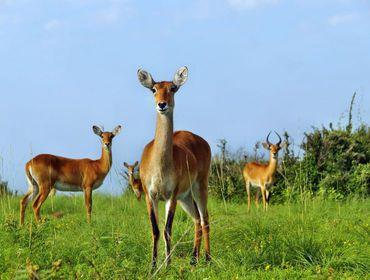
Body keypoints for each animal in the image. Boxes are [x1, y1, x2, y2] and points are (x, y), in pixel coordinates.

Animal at [137, 66, 212, 268]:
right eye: (153, 89)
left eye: (173, 88)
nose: (162, 104)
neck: (160, 167)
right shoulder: (151, 195)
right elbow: (156, 230)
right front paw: (153, 265)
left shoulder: (171, 196)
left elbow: (167, 229)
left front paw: (168, 264)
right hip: (185, 197)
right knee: (196, 219)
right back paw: (193, 259)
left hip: (199, 187)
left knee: (205, 219)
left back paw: (208, 258)